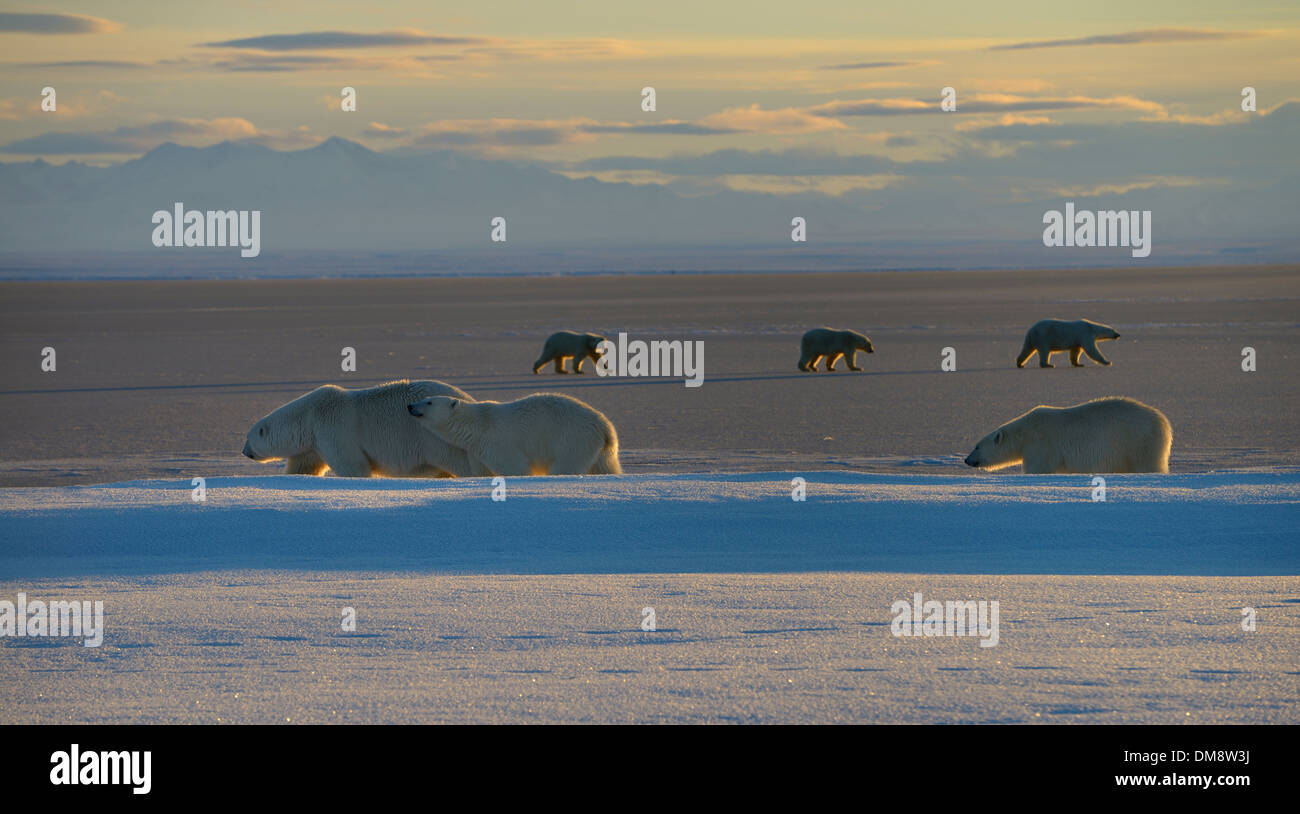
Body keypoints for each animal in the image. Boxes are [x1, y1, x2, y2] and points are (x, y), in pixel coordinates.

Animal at [242, 380, 489, 477]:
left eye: (248, 438)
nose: (244, 451)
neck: (309, 416)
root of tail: (470, 401)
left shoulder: (332, 428)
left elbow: (352, 464)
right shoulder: (313, 445)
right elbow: (304, 466)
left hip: (438, 438)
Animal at [407, 392, 621, 476]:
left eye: (428, 402)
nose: (410, 406)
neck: (477, 424)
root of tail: (605, 426)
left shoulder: (497, 442)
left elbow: (514, 466)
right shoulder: (476, 450)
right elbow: (482, 471)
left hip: (573, 439)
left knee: (566, 465)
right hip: (600, 449)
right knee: (606, 467)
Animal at [963, 396, 1171, 474]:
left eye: (977, 446)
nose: (966, 460)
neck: (1024, 433)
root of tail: (1164, 423)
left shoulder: (1041, 445)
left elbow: (1037, 468)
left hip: (1138, 442)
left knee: (1148, 464)